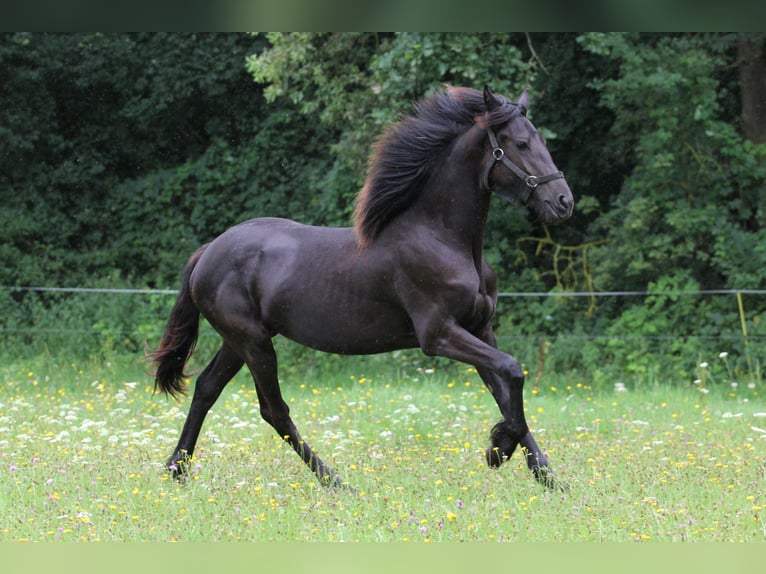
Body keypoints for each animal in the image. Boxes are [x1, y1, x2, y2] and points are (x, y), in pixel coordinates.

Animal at [149, 85, 574, 490]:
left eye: (541, 140)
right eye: (520, 144)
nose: (563, 201)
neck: (442, 238)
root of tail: (207, 252)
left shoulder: (480, 329)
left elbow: (505, 391)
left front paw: (550, 479)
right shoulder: (439, 335)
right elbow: (513, 372)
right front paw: (498, 450)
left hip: (238, 342)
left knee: (206, 389)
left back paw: (177, 470)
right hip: (253, 342)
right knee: (274, 411)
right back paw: (336, 482)